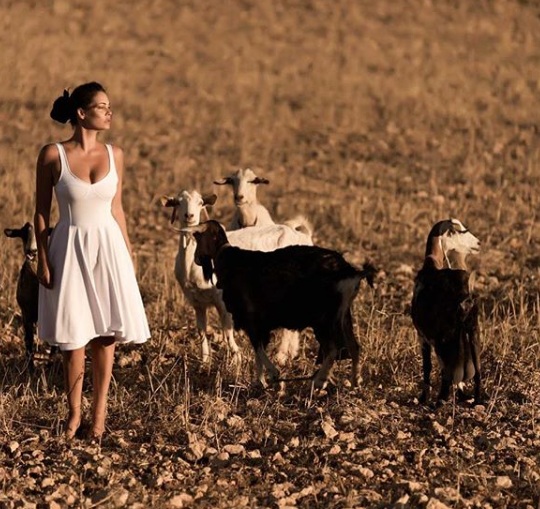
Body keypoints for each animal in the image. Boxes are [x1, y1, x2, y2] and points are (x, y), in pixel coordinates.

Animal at [181, 219, 376, 388]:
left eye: (197, 237)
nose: (196, 259)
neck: (229, 258)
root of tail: (350, 273)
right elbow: (257, 351)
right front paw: (259, 382)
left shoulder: (252, 319)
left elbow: (258, 348)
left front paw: (271, 376)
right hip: (342, 316)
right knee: (353, 347)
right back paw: (354, 382)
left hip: (324, 318)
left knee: (332, 349)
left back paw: (318, 381)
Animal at [412, 218, 484, 404]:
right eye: (457, 231)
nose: (478, 243)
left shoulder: (422, 336)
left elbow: (427, 367)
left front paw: (423, 398)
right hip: (472, 332)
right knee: (477, 370)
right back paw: (476, 400)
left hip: (445, 338)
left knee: (448, 370)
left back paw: (438, 402)